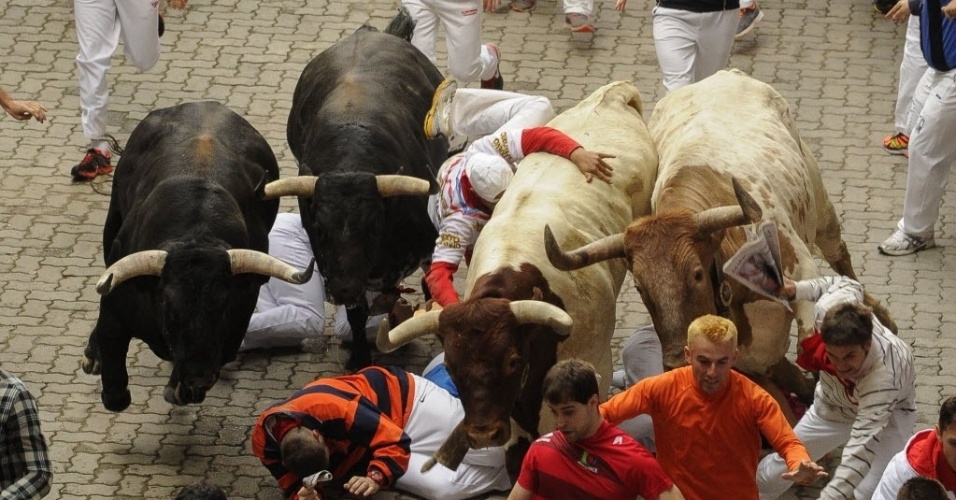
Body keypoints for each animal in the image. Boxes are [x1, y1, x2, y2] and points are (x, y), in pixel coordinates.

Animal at [82, 100, 312, 410]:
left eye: (224, 306)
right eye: (169, 306)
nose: (198, 375)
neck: (196, 233)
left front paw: (180, 388)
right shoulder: (116, 303)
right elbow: (114, 383)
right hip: (113, 219)